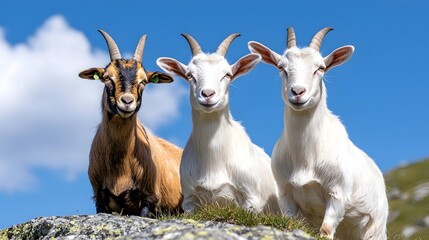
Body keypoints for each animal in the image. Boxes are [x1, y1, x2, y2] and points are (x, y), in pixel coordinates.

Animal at [157, 33, 280, 214]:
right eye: (189, 75)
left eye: (227, 74)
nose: (208, 94)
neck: (214, 158)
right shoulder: (189, 200)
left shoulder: (252, 199)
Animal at [247, 27, 388, 239]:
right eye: (281, 67)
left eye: (320, 68)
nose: (298, 92)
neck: (306, 156)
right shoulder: (285, 192)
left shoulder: (338, 193)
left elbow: (326, 230)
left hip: (375, 228)